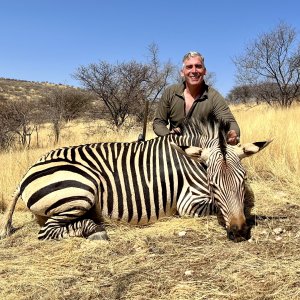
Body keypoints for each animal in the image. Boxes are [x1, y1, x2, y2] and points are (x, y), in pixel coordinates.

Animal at [0, 116, 272, 243]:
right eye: (213, 183)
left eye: (243, 179)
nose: (239, 231)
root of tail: (27, 173)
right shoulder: (188, 204)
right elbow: (217, 207)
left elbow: (244, 204)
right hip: (82, 189)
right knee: (47, 232)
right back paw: (96, 231)